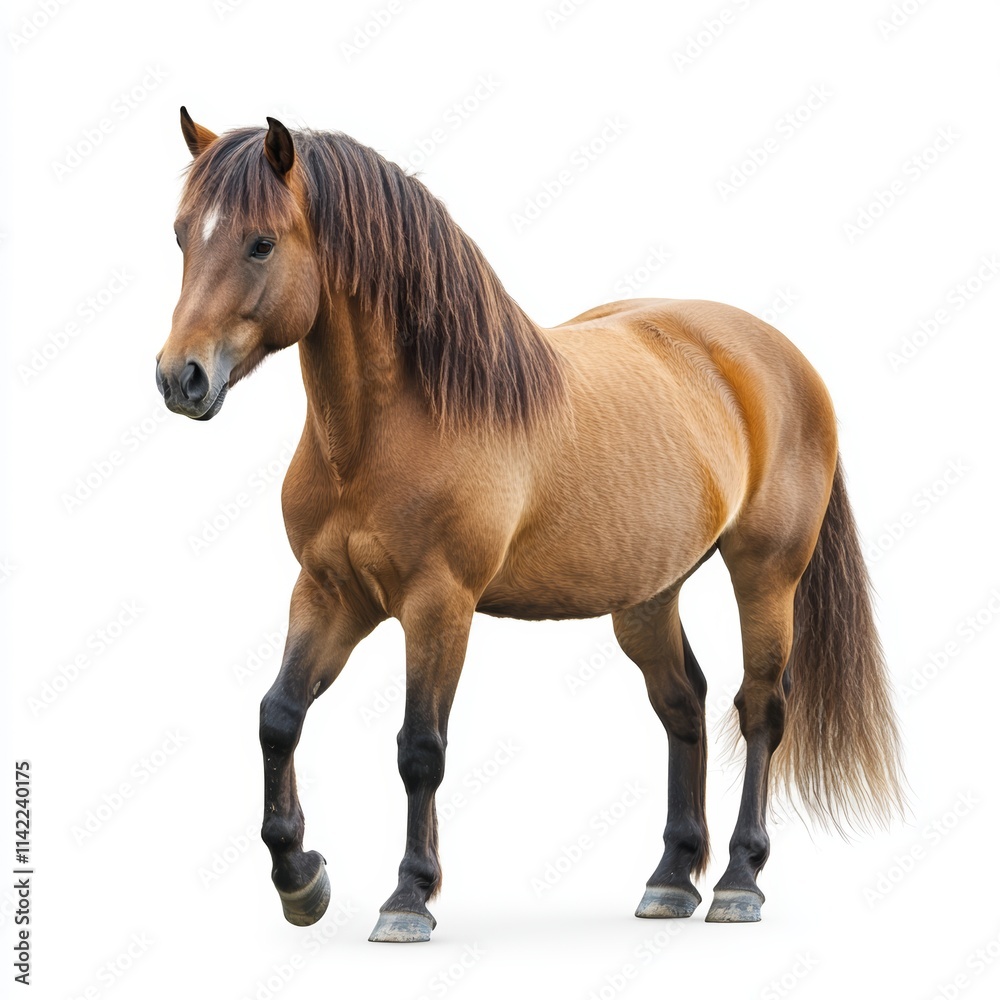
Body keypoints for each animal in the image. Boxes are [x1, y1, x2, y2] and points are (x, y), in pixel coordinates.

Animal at [156, 109, 904, 943]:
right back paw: (671, 879)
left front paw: (408, 897)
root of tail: (781, 356)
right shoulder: (329, 593)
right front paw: (301, 880)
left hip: (767, 576)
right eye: (182, 234)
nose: (180, 378)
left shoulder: (438, 604)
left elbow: (420, 748)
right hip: (647, 596)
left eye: (260, 242)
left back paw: (740, 881)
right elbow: (278, 718)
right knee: (684, 705)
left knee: (762, 709)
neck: (395, 423)